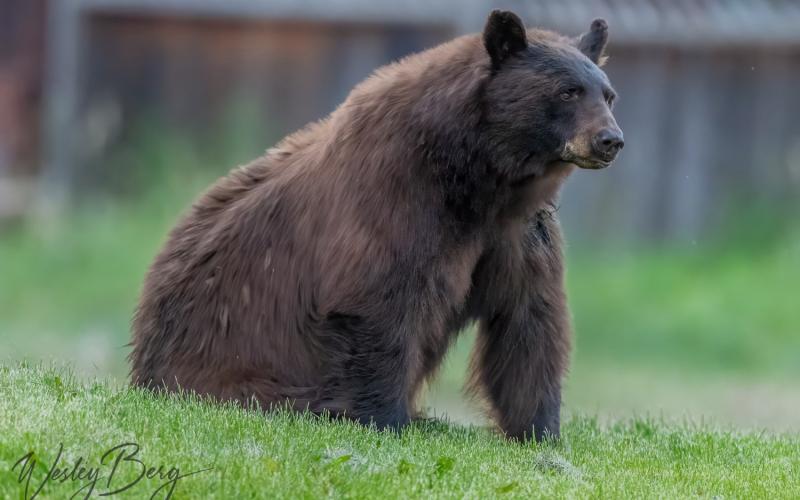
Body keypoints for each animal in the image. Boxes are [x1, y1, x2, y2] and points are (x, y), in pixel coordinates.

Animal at [129, 10, 623, 442]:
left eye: (607, 94)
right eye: (568, 91)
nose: (610, 140)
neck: (478, 179)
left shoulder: (516, 232)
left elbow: (529, 318)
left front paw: (540, 432)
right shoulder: (398, 201)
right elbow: (381, 304)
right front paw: (385, 419)